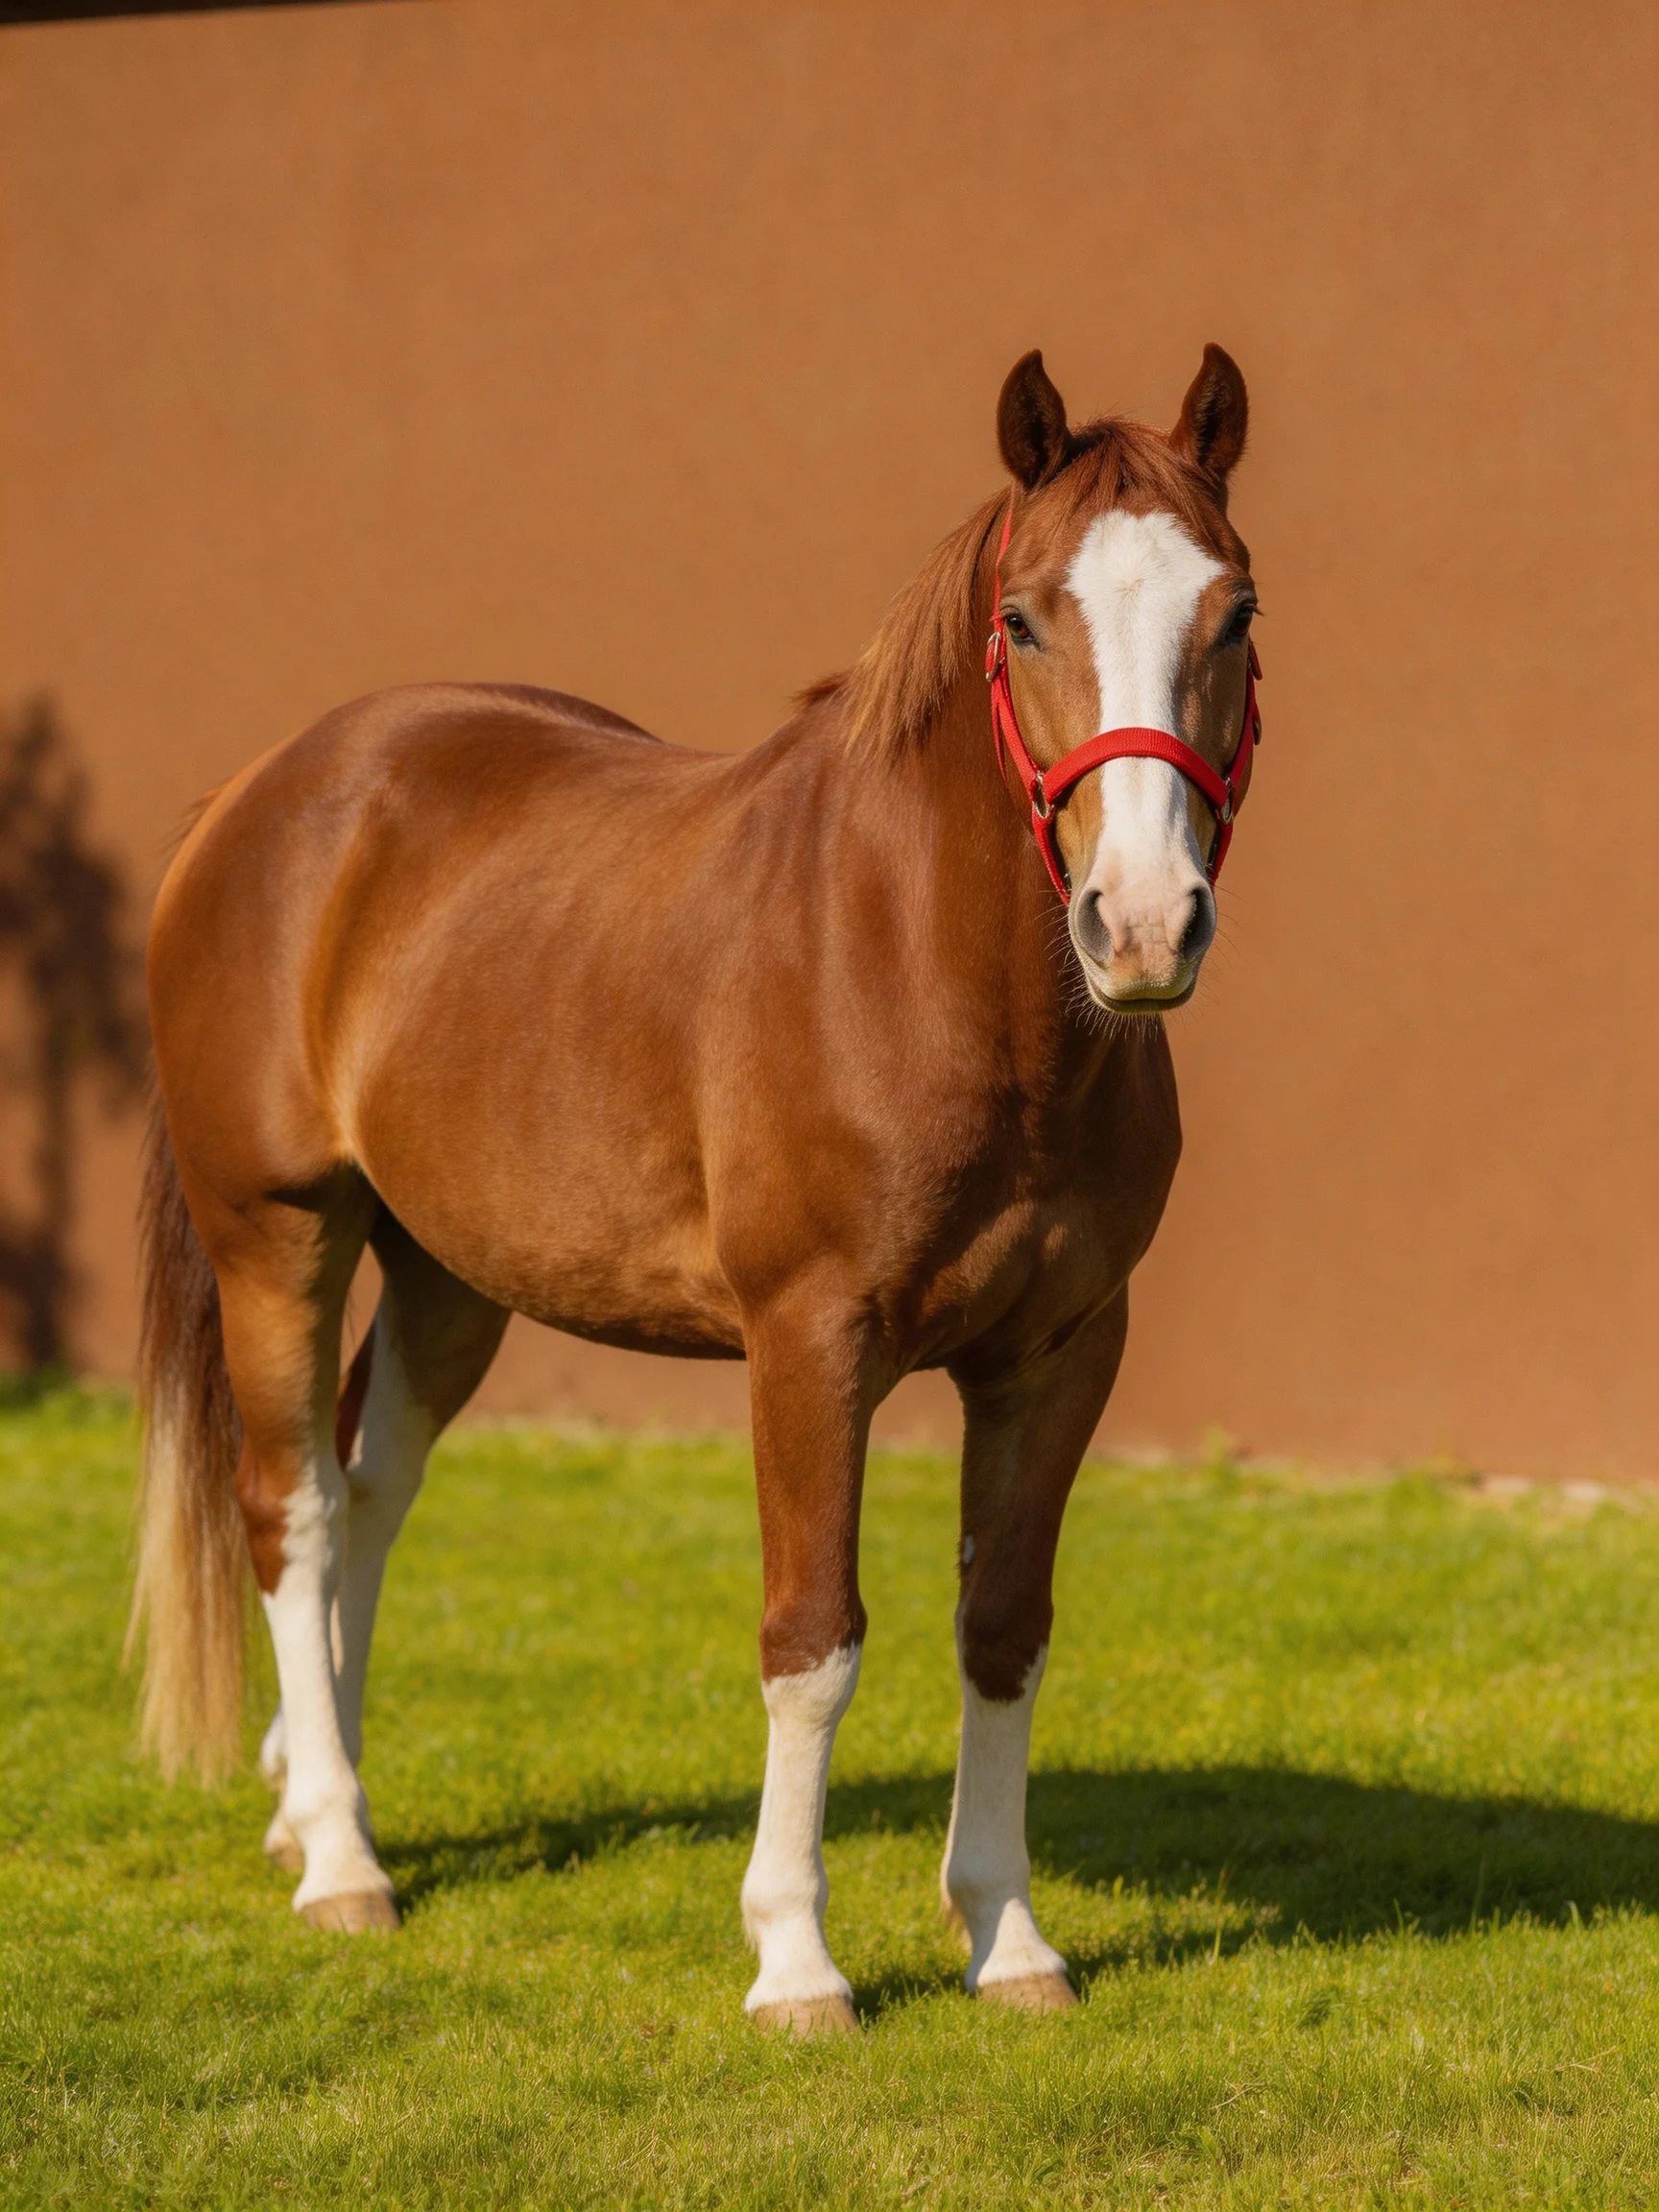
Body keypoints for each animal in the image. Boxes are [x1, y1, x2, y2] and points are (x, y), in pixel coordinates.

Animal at [129, 343, 1262, 2034]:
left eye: (1233, 611)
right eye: (1021, 619)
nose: (1140, 923)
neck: (921, 965)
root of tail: (262, 794)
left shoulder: (1060, 1355)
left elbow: (1004, 1632)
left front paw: (1008, 1938)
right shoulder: (809, 1347)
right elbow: (814, 1639)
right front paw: (795, 1957)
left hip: (450, 1275)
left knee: (370, 1488)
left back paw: (309, 1796)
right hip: (277, 1237)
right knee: (294, 1509)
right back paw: (337, 1859)